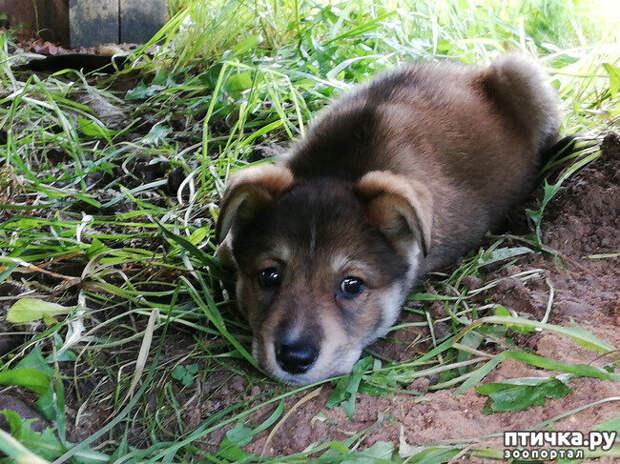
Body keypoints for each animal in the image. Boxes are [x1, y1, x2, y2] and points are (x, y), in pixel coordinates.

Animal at [216, 54, 560, 386]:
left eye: (352, 285)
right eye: (269, 276)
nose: (294, 359)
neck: (339, 168)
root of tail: (471, 73)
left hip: (522, 71)